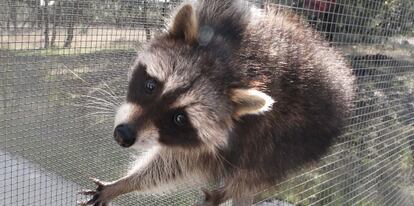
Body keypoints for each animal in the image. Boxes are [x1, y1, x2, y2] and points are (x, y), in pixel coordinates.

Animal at [80, 0, 356, 206]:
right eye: (151, 85)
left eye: (179, 118)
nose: (123, 135)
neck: (233, 64)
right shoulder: (224, 17)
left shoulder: (234, 133)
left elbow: (179, 163)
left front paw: (128, 183)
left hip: (291, 143)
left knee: (254, 172)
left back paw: (230, 191)